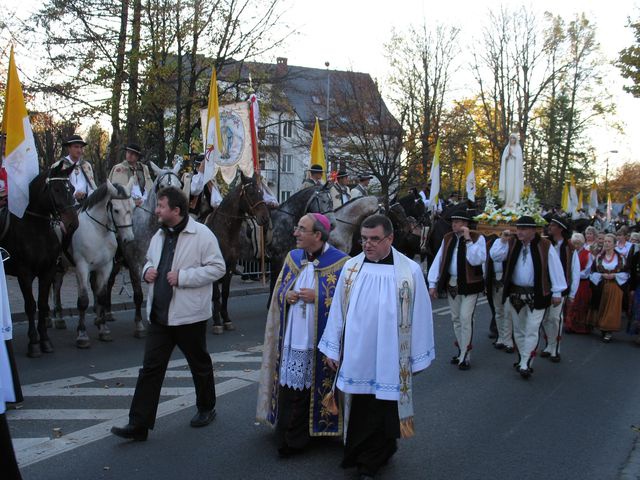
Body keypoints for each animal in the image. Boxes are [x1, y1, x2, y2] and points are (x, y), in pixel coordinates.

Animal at [0, 165, 78, 356]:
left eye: (72, 189)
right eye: (56, 189)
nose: (72, 223)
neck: (36, 228)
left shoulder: (47, 271)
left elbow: (42, 305)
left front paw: (45, 341)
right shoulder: (24, 273)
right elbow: (30, 305)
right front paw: (34, 343)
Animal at [71, 180, 134, 348]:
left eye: (132, 207)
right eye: (116, 210)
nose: (129, 239)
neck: (98, 230)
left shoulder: (105, 267)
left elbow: (102, 296)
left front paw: (103, 329)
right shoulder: (82, 266)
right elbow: (83, 300)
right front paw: (82, 335)